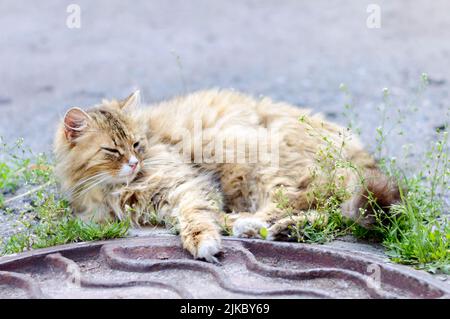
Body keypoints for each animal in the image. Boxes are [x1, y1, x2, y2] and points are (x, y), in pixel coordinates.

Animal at [53, 89, 400, 262]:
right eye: (112, 151)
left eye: (137, 144)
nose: (135, 163)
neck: (112, 187)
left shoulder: (188, 184)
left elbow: (196, 218)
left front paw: (205, 240)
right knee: (327, 213)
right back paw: (284, 231)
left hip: (253, 156)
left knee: (297, 203)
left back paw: (258, 227)